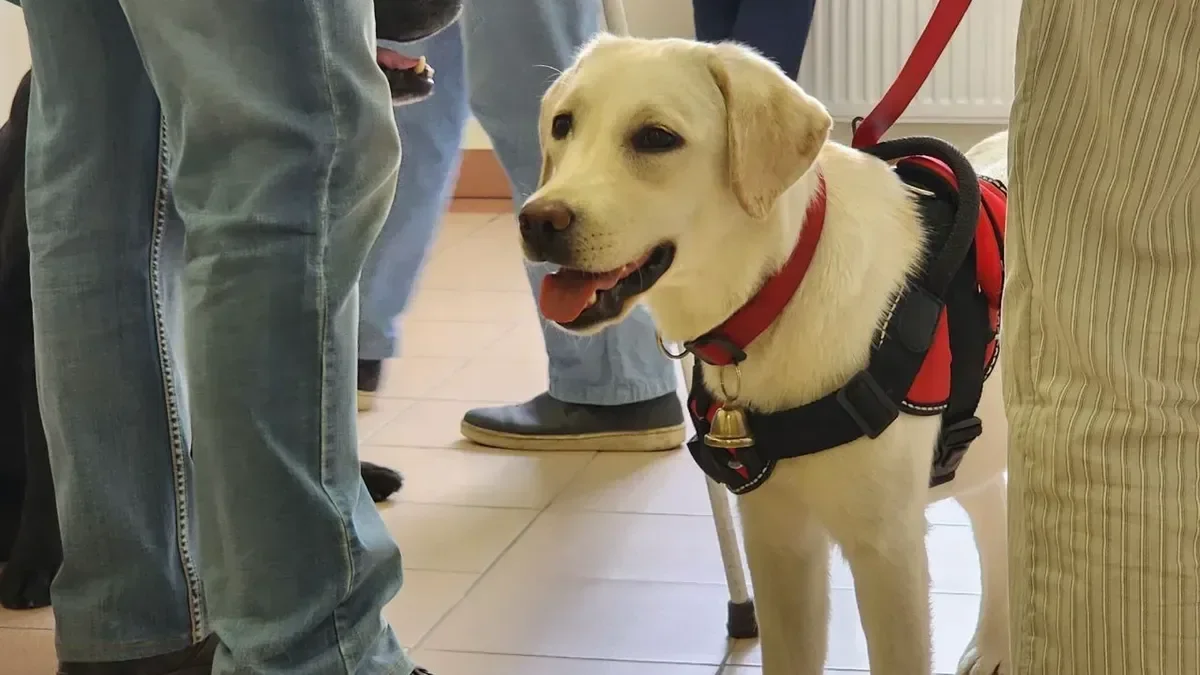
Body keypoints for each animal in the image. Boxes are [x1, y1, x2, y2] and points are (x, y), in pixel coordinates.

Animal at [520, 32, 1008, 672]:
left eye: (656, 137)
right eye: (563, 124)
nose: (536, 221)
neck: (778, 291)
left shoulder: (887, 552)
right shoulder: (778, 539)